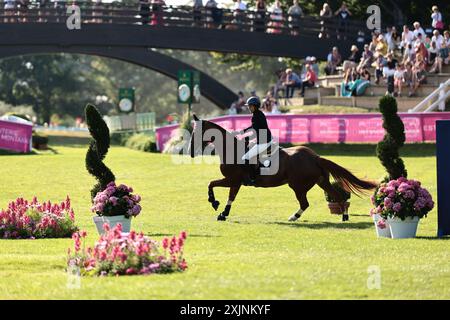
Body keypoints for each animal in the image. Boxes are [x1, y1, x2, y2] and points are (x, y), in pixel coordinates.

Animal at [188, 115, 378, 222]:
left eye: (196, 133)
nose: (190, 152)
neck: (231, 149)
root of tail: (315, 157)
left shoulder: (232, 180)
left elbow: (212, 184)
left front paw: (214, 203)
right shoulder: (236, 182)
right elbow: (229, 197)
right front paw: (223, 213)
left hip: (298, 186)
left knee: (305, 203)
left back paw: (294, 217)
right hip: (321, 182)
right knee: (337, 196)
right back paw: (344, 216)